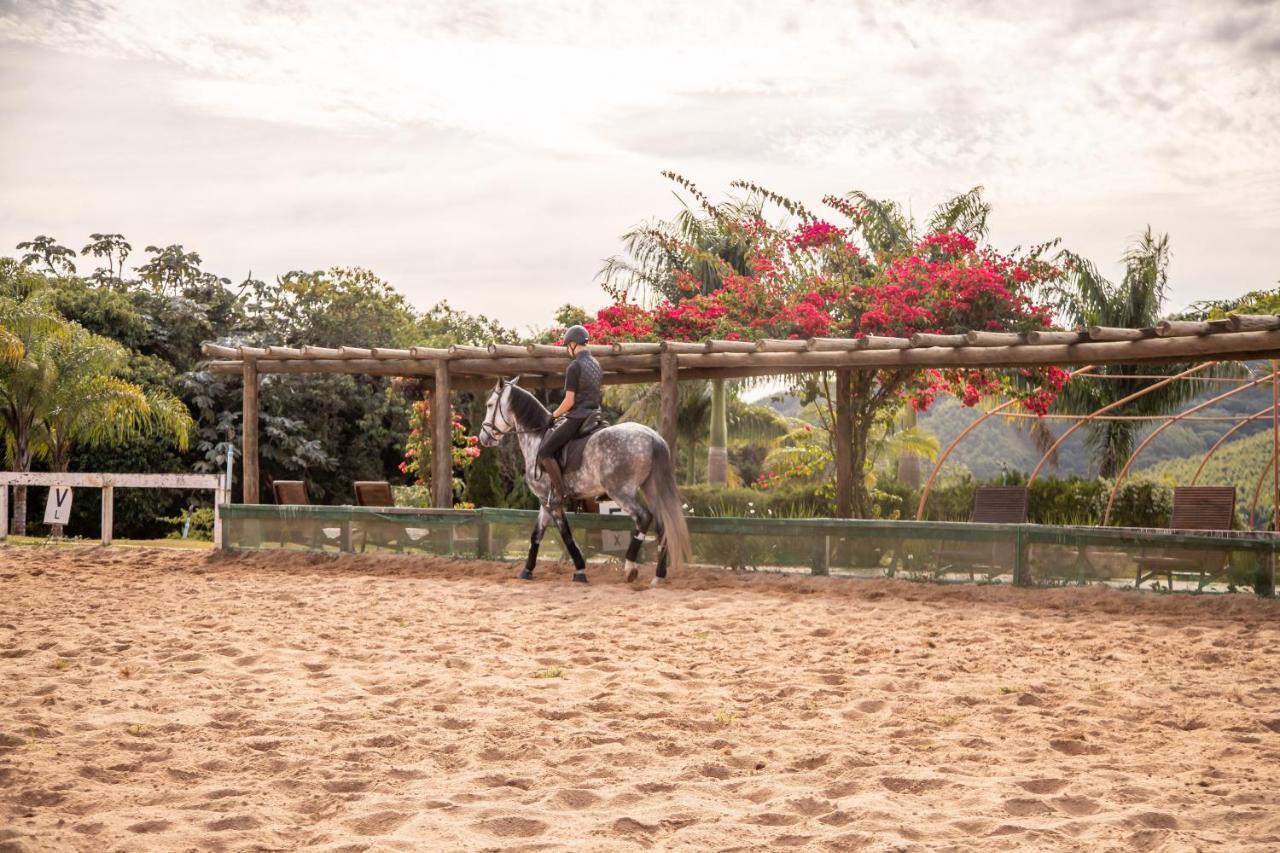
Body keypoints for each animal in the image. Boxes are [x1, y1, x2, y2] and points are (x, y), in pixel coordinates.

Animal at [476, 379, 691, 584]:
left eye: (489, 405)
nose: (483, 437)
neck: (537, 438)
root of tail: (653, 437)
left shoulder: (553, 502)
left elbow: (566, 535)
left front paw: (580, 570)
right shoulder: (546, 502)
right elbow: (536, 534)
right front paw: (527, 570)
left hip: (621, 492)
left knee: (644, 518)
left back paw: (630, 568)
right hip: (650, 488)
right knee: (662, 525)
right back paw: (659, 576)